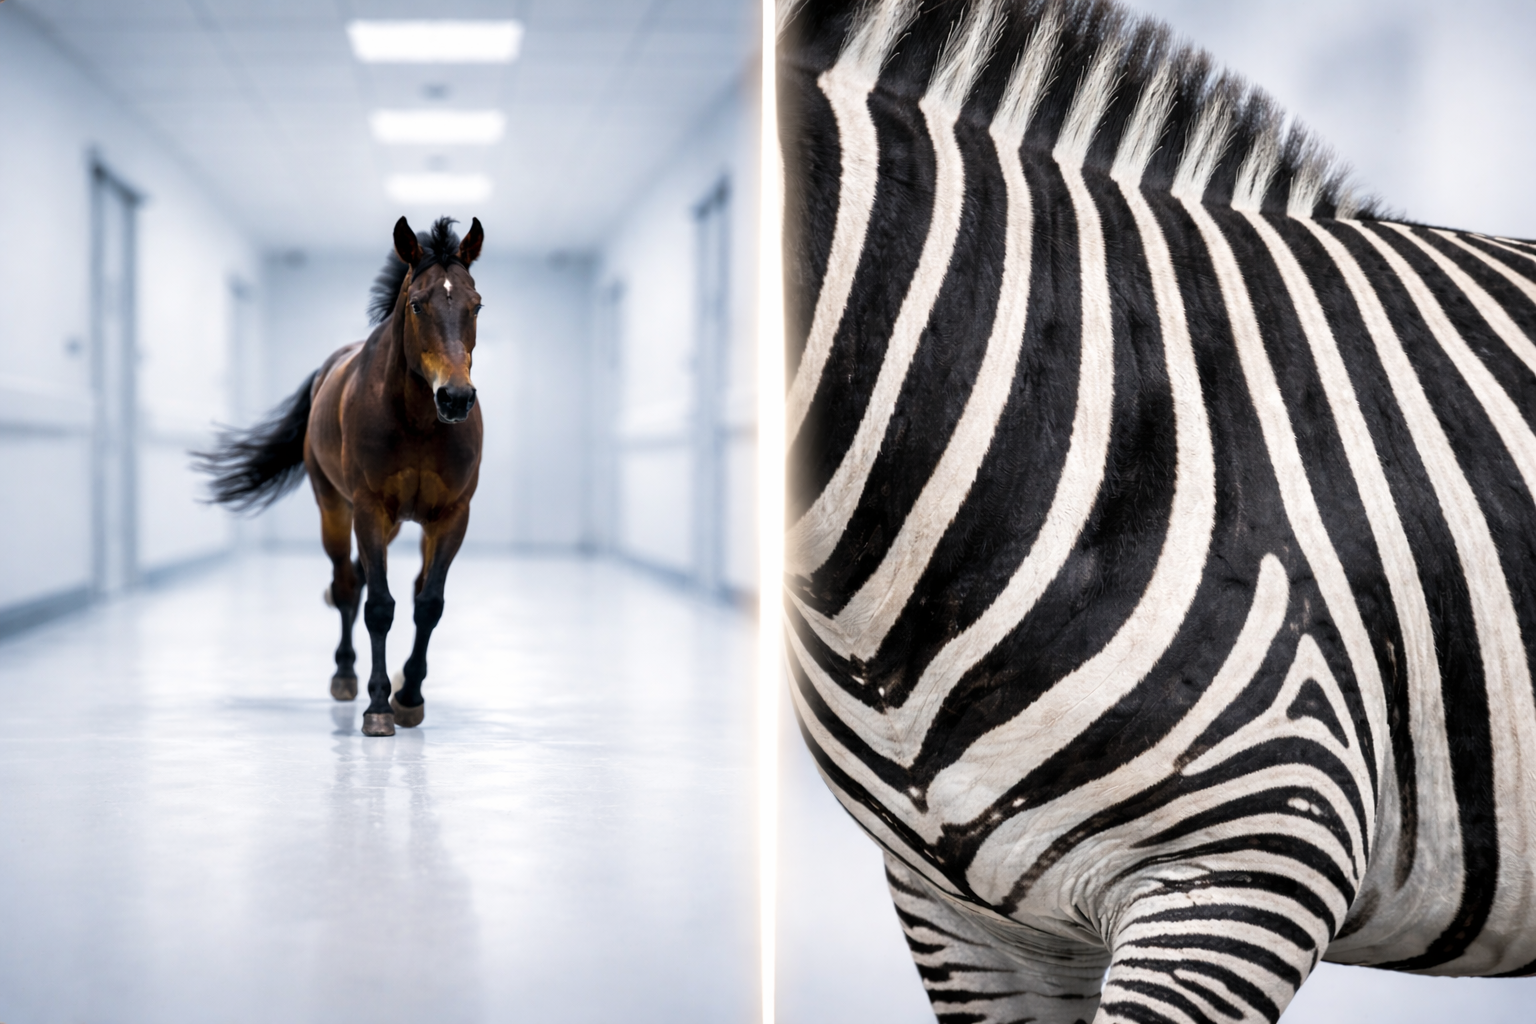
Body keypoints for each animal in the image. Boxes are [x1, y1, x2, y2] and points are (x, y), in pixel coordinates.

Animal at [198, 216, 484, 737]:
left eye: (476, 305)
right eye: (417, 304)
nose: (455, 397)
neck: (417, 421)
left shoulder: (452, 516)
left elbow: (428, 603)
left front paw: (409, 695)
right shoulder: (368, 509)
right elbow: (378, 607)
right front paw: (379, 706)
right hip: (335, 508)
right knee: (349, 585)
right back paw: (346, 674)